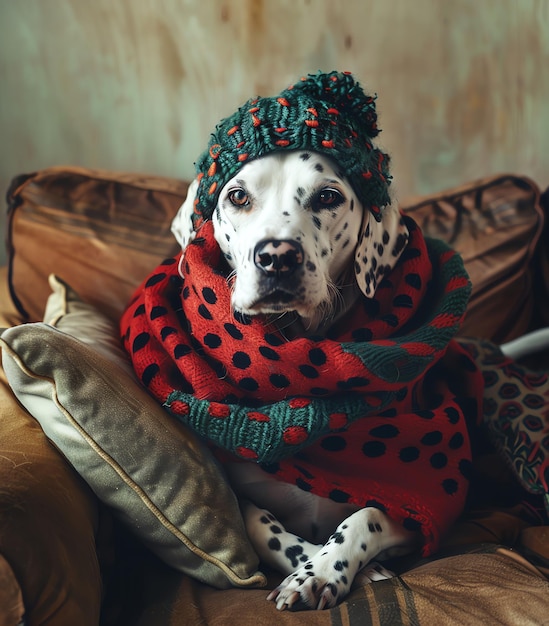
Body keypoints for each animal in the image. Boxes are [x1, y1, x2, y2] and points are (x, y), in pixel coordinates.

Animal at [171, 149, 420, 608]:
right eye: (237, 195)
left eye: (327, 196)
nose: (277, 257)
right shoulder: (242, 495)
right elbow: (260, 526)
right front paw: (320, 565)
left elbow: (367, 515)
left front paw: (323, 570)